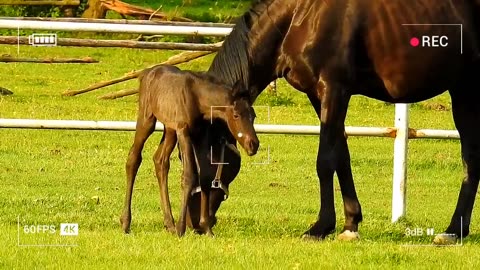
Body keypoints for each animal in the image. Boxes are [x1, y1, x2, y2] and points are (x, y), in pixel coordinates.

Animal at [119, 65, 258, 236]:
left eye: (253, 115)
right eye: (236, 115)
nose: (253, 144)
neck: (198, 98)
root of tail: (146, 73)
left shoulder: (200, 134)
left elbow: (204, 175)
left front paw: (206, 228)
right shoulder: (183, 130)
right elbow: (189, 175)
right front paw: (181, 228)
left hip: (169, 129)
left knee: (160, 161)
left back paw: (169, 224)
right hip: (147, 120)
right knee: (134, 158)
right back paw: (126, 222)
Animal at [205, 0, 480, 244]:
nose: (202, 225)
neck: (299, 18)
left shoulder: (334, 88)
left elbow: (325, 160)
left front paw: (320, 227)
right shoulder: (317, 95)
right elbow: (341, 155)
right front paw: (350, 224)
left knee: (471, 157)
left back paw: (453, 231)